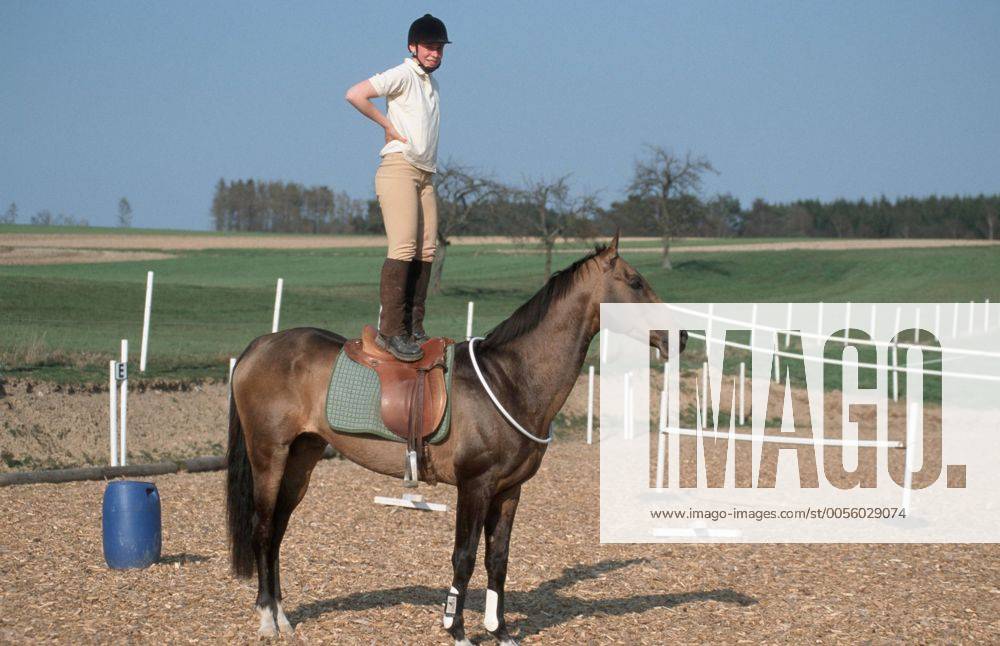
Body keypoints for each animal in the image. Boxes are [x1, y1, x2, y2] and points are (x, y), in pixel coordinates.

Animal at [225, 230, 686, 644]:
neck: (510, 379)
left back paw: (283, 618)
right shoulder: (474, 485)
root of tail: (259, 346)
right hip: (270, 456)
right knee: (262, 529)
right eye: (634, 282)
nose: (679, 336)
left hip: (302, 457)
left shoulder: (509, 490)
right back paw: (267, 620)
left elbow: (497, 560)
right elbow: (463, 558)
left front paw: (500, 632)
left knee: (278, 532)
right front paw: (458, 629)